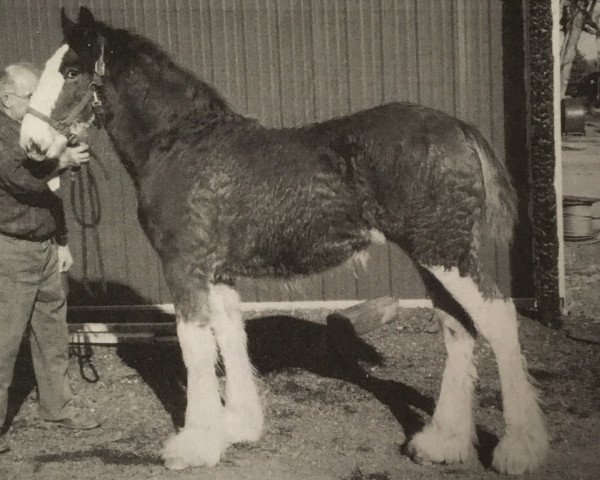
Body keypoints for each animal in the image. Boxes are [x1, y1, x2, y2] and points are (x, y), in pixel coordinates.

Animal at [19, 7, 548, 476]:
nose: (30, 146)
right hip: (432, 257)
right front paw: (238, 427)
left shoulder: (184, 266)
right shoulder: (219, 273)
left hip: (445, 254)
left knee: (499, 318)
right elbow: (230, 338)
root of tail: (458, 128)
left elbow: (195, 347)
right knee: (458, 329)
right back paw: (442, 443)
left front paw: (194, 446)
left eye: (70, 71)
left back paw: (520, 450)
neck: (181, 144)